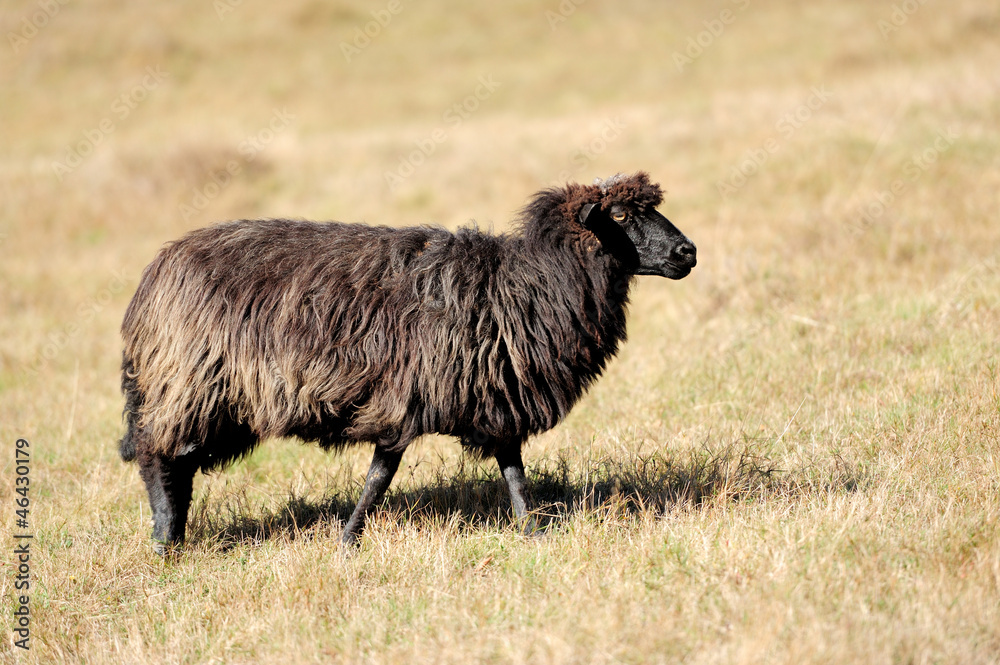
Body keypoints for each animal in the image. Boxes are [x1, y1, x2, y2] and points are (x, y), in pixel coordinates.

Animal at [119, 171, 696, 548]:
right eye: (619, 215)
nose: (688, 252)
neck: (525, 284)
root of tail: (156, 271)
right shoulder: (406, 397)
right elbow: (380, 477)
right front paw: (348, 542)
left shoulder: (495, 393)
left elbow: (512, 469)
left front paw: (533, 532)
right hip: (189, 385)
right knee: (159, 459)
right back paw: (166, 542)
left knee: (178, 461)